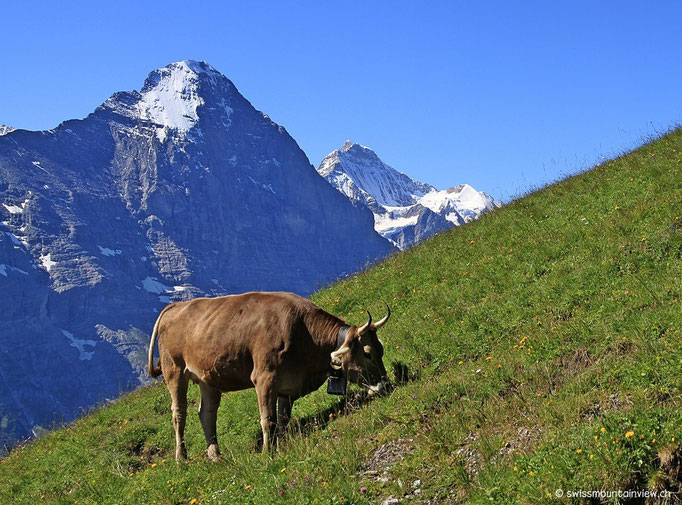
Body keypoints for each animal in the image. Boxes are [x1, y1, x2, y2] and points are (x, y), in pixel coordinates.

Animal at [147, 290, 394, 458]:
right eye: (368, 353)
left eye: (382, 348)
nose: (386, 385)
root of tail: (175, 306)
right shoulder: (264, 378)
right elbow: (268, 419)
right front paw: (267, 452)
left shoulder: (287, 383)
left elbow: (283, 417)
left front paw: (283, 443)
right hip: (174, 371)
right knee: (178, 414)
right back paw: (182, 458)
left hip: (207, 378)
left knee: (207, 414)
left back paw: (215, 455)